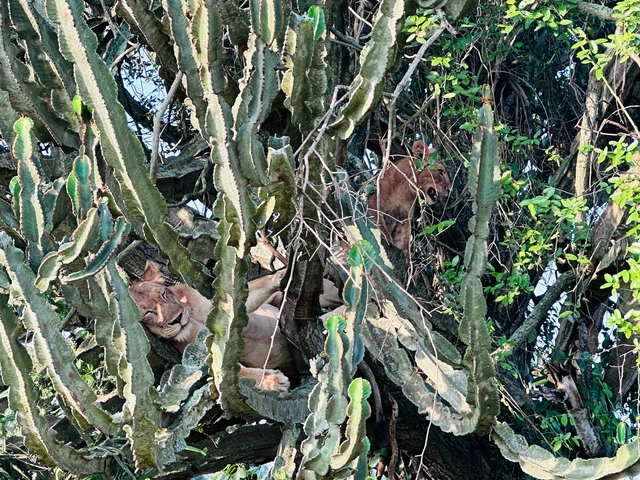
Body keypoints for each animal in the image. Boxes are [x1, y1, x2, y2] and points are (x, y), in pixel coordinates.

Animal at [128, 261, 296, 392]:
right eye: (148, 313)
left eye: (163, 294)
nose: (178, 318)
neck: (194, 318)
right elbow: (232, 372)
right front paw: (273, 382)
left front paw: (281, 275)